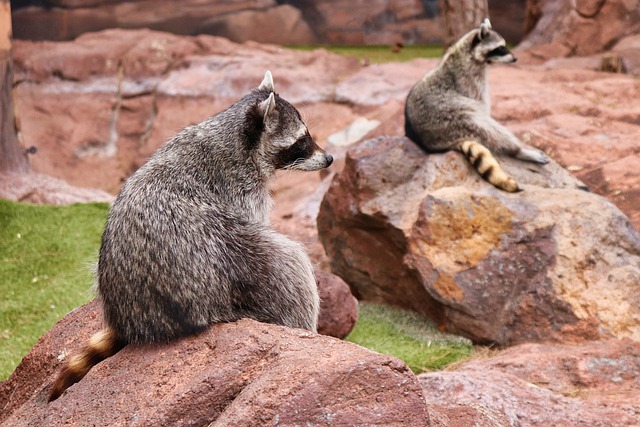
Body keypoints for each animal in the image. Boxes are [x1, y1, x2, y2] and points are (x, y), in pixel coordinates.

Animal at [48, 72, 336, 402]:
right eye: (301, 141)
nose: (329, 158)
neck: (234, 135)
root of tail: (135, 320)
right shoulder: (238, 188)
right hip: (220, 269)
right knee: (286, 263)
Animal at [408, 18, 548, 192]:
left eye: (504, 46)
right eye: (500, 48)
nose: (515, 58)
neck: (465, 54)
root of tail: (432, 143)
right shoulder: (468, 81)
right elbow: (481, 106)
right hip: (452, 118)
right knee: (486, 126)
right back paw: (518, 151)